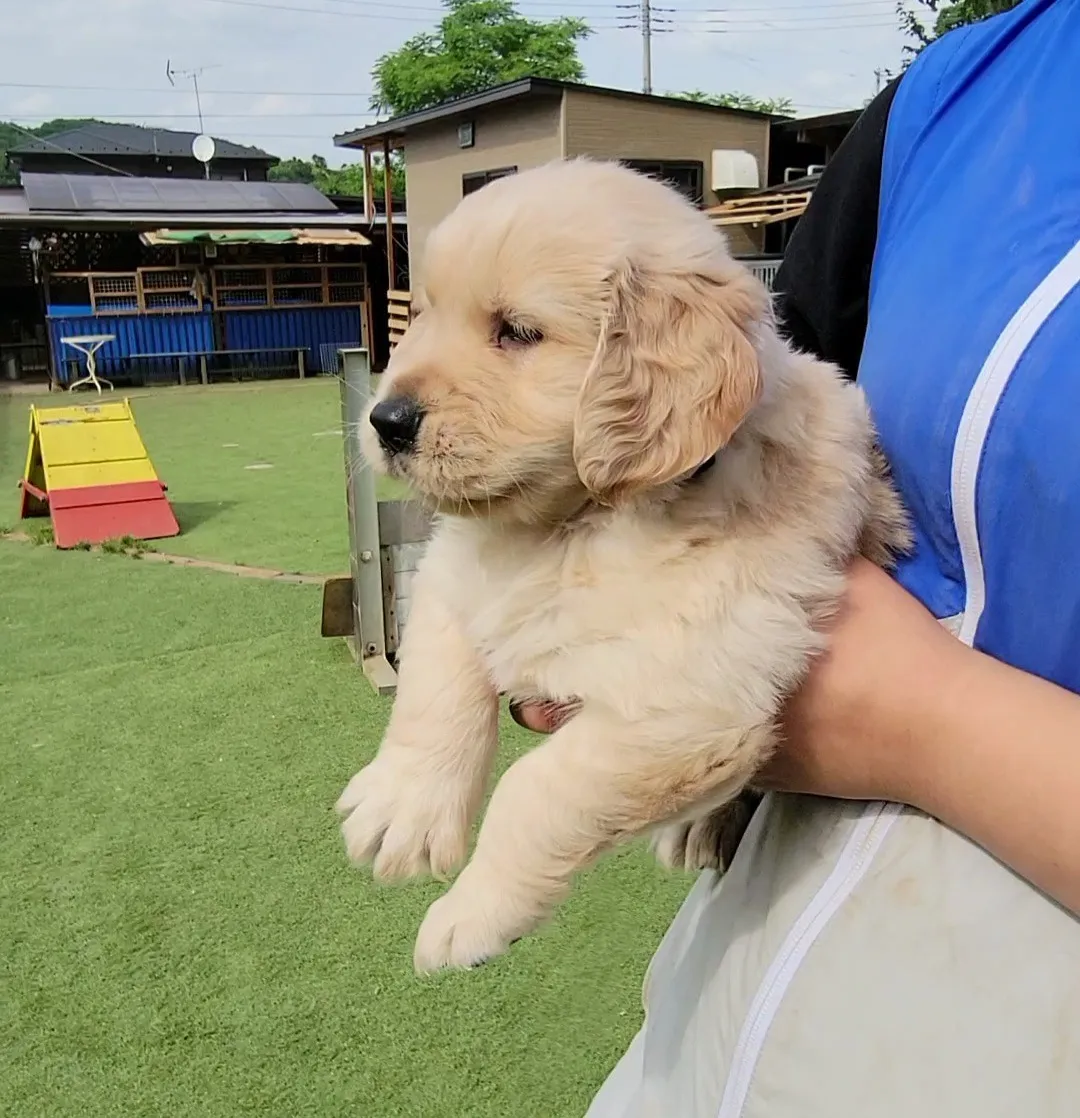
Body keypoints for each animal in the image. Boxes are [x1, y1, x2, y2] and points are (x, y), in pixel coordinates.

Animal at [333, 155, 907, 970]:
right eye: (427, 316)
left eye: (518, 332)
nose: (386, 420)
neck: (564, 528)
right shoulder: (451, 576)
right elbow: (434, 689)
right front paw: (401, 808)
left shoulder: (686, 696)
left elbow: (535, 791)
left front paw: (470, 914)